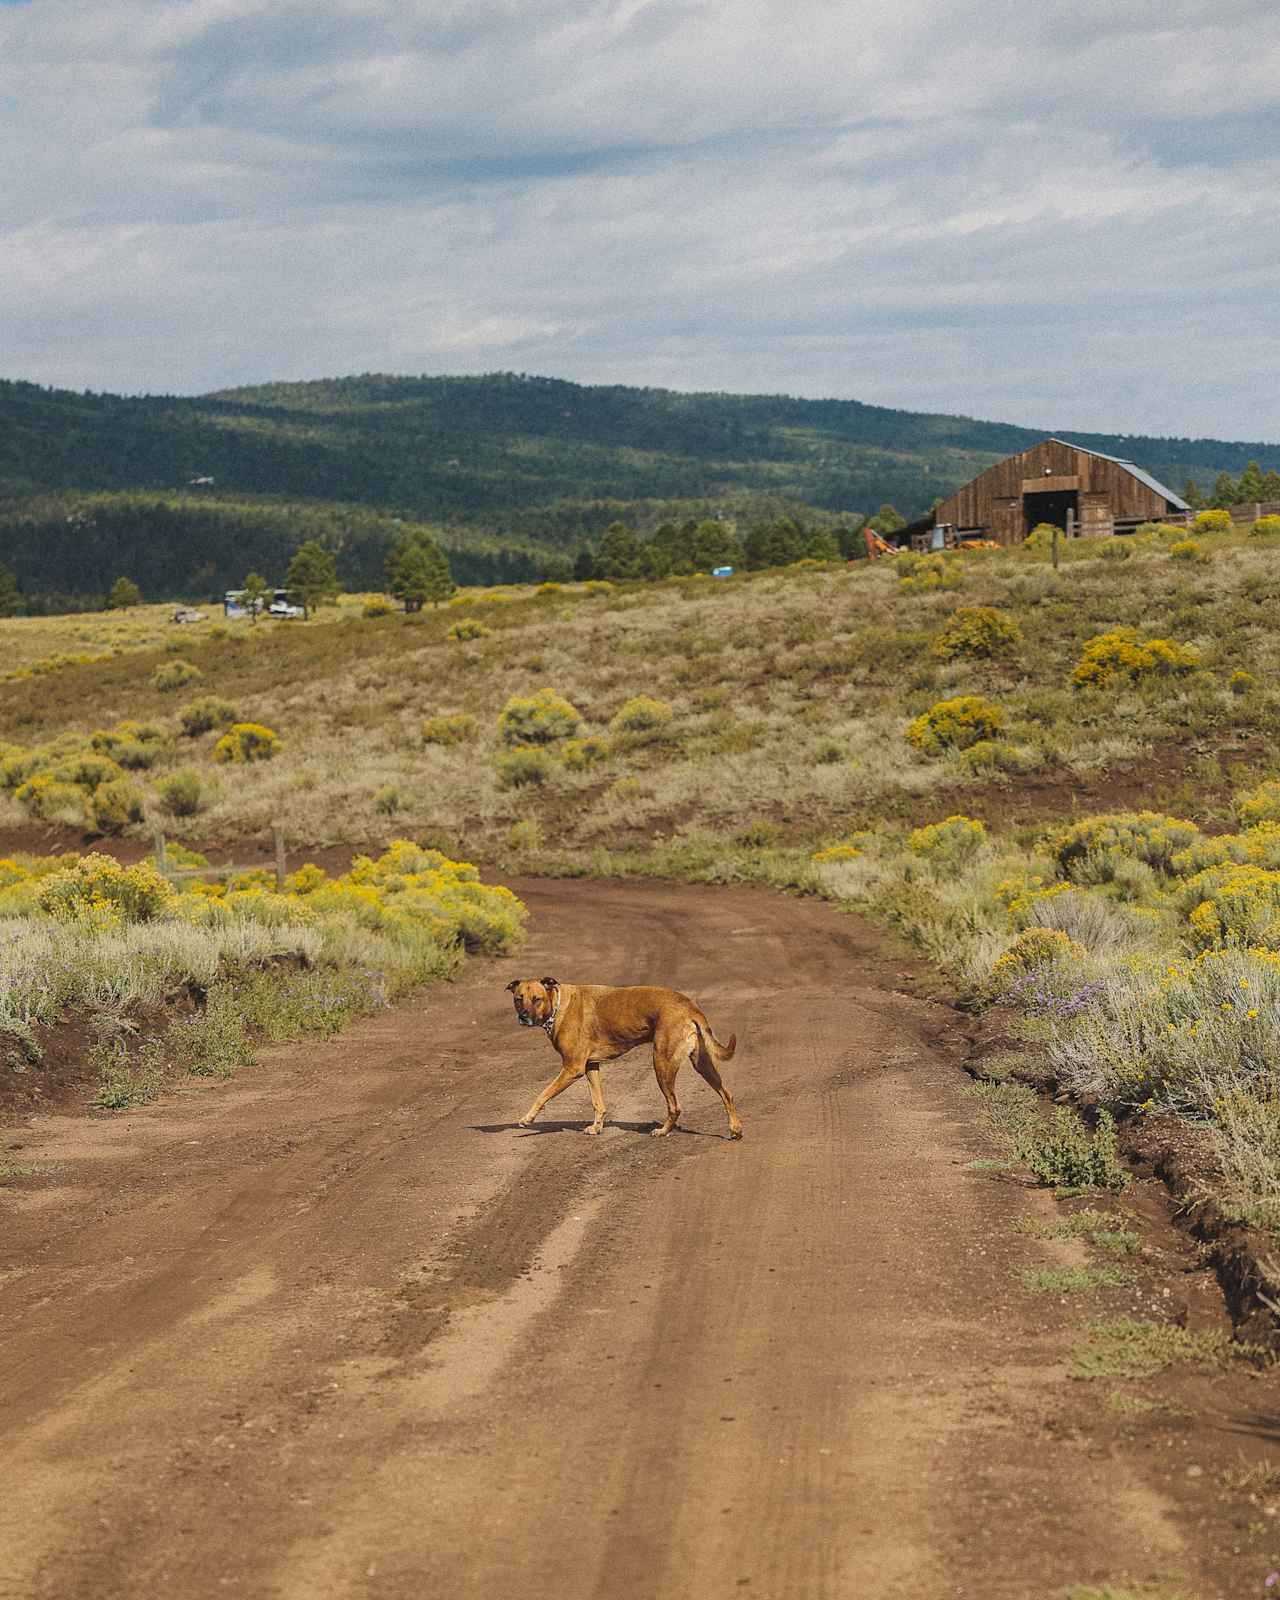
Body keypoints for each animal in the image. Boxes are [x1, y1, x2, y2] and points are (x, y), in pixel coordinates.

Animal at [508, 972, 745, 1139]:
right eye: (519, 999)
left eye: (536, 999)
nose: (523, 1017)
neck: (558, 1006)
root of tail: (689, 1005)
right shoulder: (591, 1066)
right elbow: (598, 1103)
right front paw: (597, 1127)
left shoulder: (572, 1068)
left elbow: (543, 1094)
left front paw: (527, 1119)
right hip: (701, 1063)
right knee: (726, 1093)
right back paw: (735, 1129)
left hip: (662, 1063)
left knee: (675, 1106)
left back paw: (662, 1131)